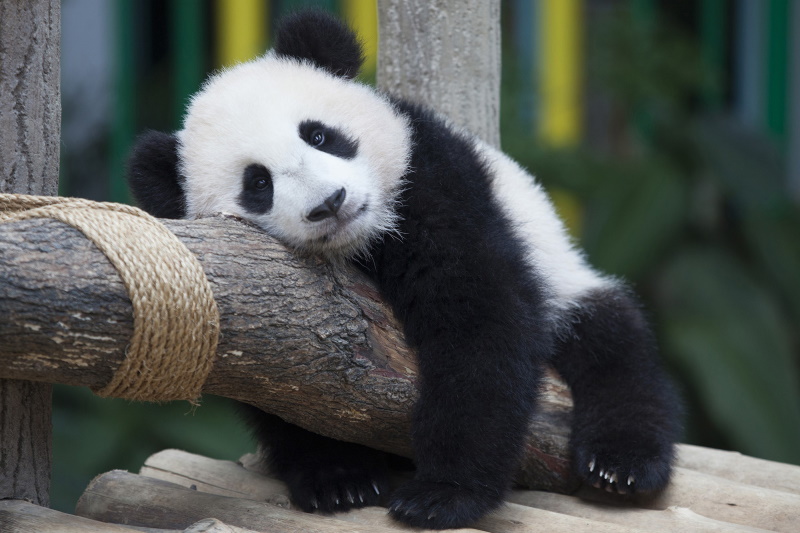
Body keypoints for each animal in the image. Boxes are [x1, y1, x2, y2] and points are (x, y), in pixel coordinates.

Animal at [127, 10, 681, 530]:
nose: (330, 202)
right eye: (258, 183)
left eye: (319, 135)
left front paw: (444, 495)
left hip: (564, 273)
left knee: (611, 343)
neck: (363, 243)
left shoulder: (432, 182)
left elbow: (479, 318)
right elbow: (276, 385)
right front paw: (338, 479)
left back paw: (620, 463)